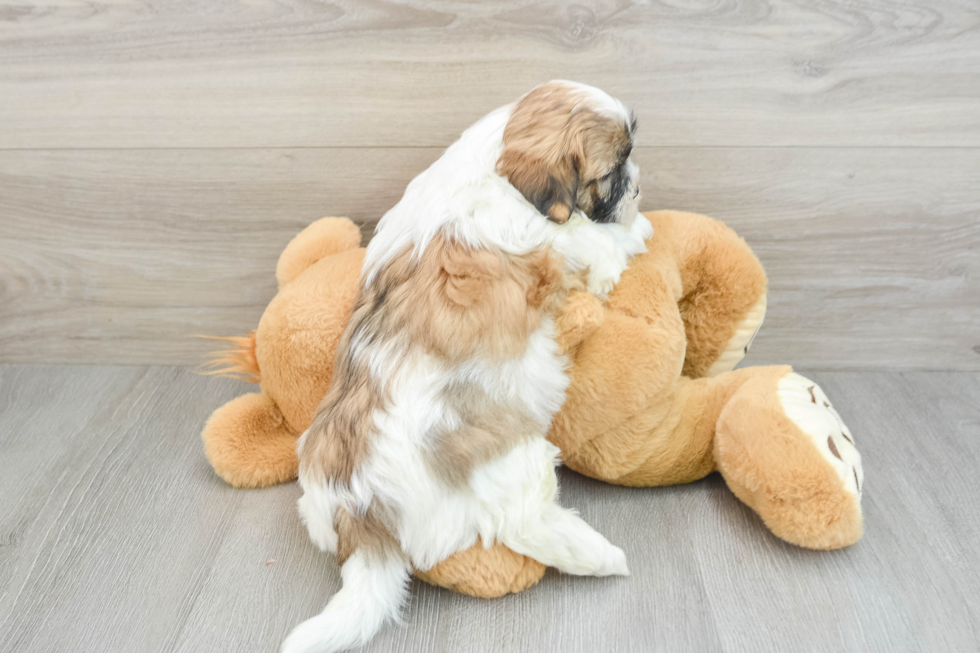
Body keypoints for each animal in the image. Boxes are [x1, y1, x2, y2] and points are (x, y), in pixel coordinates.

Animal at [282, 81, 652, 652]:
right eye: (613, 169)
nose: (638, 185)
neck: (496, 174)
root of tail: (363, 517)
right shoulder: (572, 242)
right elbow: (603, 243)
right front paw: (639, 227)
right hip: (510, 457)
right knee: (523, 521)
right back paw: (599, 556)